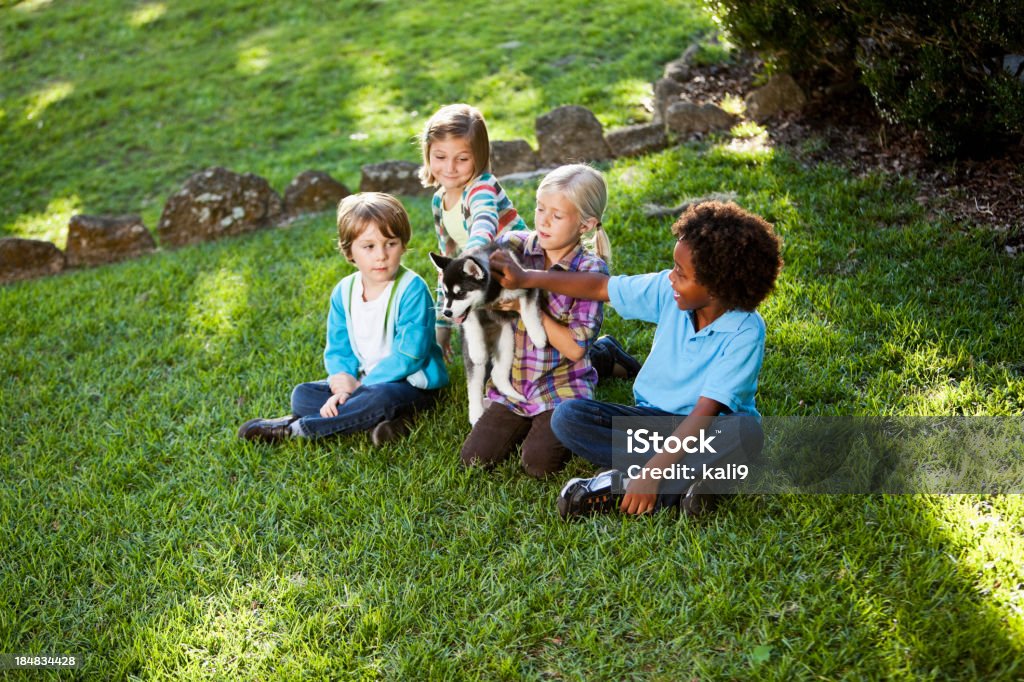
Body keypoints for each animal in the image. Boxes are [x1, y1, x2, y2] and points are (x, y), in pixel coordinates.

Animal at [428, 244, 548, 421]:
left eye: (460, 293)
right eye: (445, 293)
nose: (447, 313)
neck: (490, 296)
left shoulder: (526, 284)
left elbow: (528, 310)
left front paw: (538, 336)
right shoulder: (471, 314)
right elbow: (472, 324)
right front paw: (478, 351)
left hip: (506, 338)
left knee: (497, 373)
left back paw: (516, 396)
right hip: (475, 357)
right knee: (475, 383)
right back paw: (475, 413)